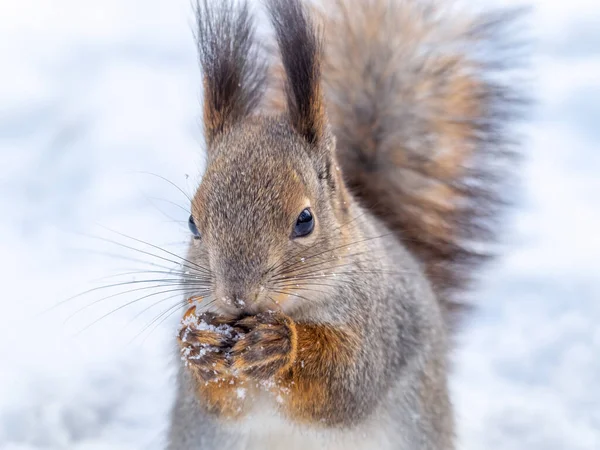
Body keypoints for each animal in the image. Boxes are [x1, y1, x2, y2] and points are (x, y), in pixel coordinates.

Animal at [166, 0, 524, 450]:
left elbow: (346, 384)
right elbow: (218, 402)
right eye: (192, 224)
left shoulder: (379, 321)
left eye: (305, 221)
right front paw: (198, 346)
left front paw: (282, 345)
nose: (237, 296)